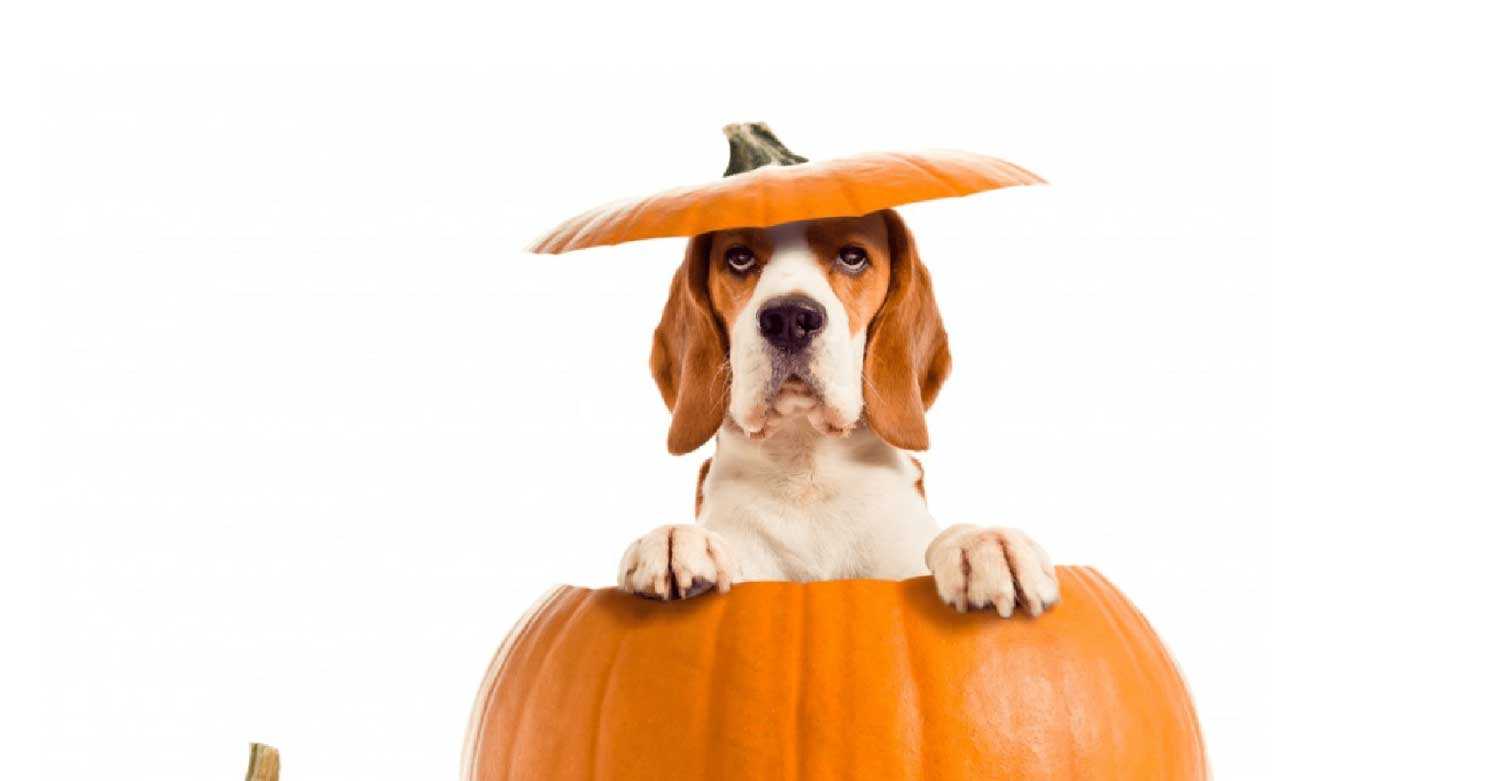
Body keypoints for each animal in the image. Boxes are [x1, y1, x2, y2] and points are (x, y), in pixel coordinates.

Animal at [615, 208, 1062, 614]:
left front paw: (981, 543)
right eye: (738, 257)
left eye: (852, 256)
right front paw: (673, 540)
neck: (807, 470)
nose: (789, 318)